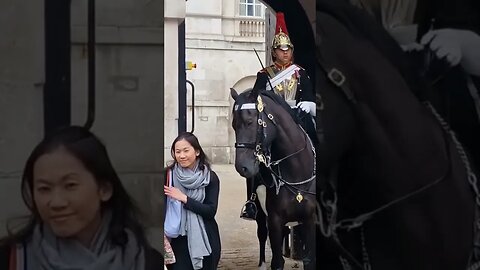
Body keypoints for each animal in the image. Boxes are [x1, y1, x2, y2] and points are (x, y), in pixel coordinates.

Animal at [231, 87, 316, 268]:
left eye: (250, 122)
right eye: (234, 125)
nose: (242, 167)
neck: (296, 171)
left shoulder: (310, 220)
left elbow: (309, 260)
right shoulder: (275, 220)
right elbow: (277, 261)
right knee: (262, 234)